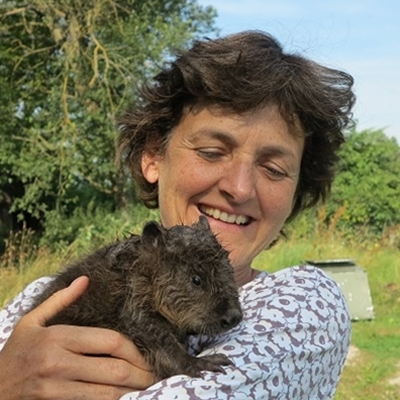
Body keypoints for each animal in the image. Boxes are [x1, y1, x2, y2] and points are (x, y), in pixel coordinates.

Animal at [28, 216, 243, 380]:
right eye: (196, 279)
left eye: (229, 269)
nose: (233, 317)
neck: (138, 267)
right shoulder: (134, 297)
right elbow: (154, 336)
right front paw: (205, 363)